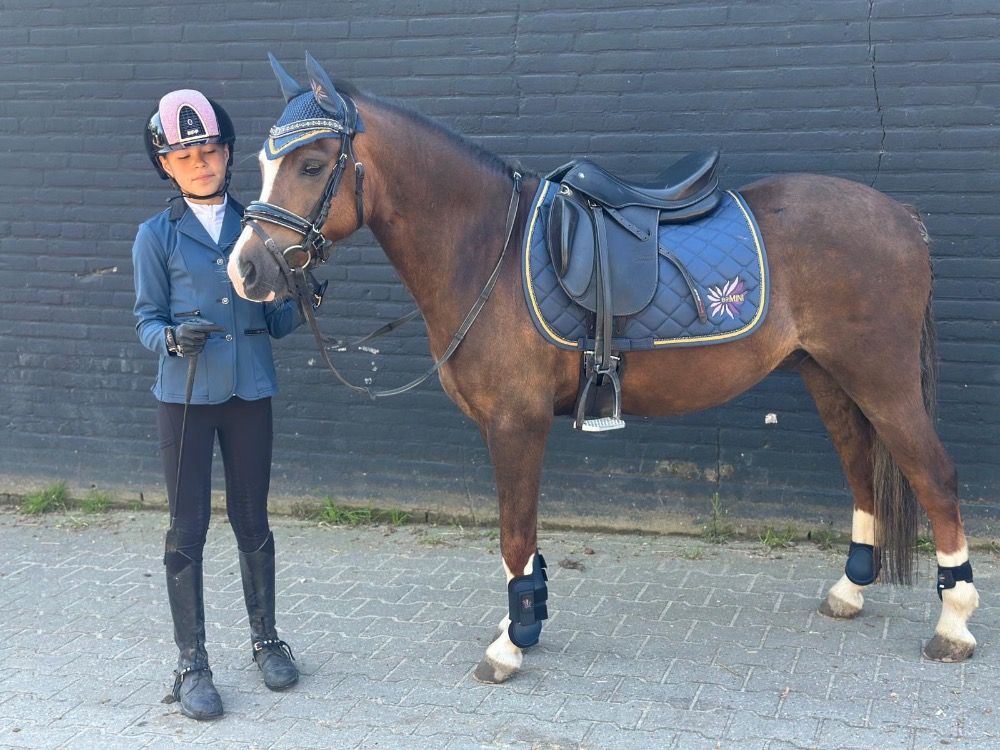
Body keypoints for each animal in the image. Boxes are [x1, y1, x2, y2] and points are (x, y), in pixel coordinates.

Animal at [228, 54, 978, 684]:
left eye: (313, 164)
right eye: (264, 161)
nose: (245, 270)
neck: (487, 252)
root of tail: (901, 217)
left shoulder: (516, 424)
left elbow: (514, 533)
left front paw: (511, 644)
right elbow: (524, 539)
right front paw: (525, 619)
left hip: (882, 379)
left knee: (935, 476)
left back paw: (955, 624)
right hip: (828, 376)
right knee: (862, 468)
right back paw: (851, 590)